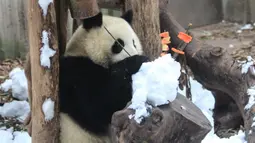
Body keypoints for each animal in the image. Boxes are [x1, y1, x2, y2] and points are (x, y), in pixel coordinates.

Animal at [58, 10, 148, 142]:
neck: (83, 51)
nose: (132, 54)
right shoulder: (76, 74)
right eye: (119, 44)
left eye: (134, 43)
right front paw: (138, 61)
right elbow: (100, 104)